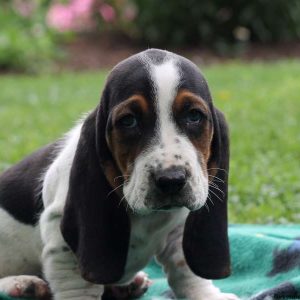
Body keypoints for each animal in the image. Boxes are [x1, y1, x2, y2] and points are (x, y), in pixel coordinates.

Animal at [0, 49, 239, 300]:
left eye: (194, 116)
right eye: (128, 121)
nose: (171, 180)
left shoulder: (178, 230)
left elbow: (187, 272)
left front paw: (207, 296)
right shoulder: (61, 238)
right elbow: (78, 285)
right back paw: (22, 284)